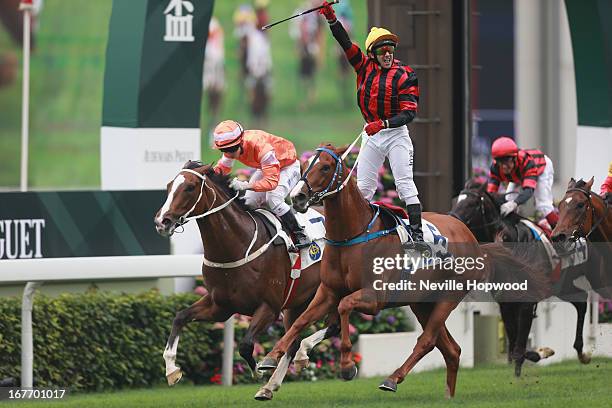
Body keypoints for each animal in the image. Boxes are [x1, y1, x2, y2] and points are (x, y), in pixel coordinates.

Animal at [152, 162, 334, 398]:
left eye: (190, 188)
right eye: (168, 186)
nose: (162, 222)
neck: (237, 245)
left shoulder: (269, 307)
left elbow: (246, 344)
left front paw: (259, 370)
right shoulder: (220, 306)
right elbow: (180, 317)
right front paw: (172, 369)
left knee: (331, 327)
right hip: (299, 302)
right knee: (294, 338)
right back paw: (272, 385)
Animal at [256, 145, 544, 396]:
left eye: (326, 167)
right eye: (306, 166)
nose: (298, 197)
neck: (352, 235)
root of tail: (472, 238)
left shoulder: (373, 298)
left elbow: (344, 307)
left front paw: (347, 366)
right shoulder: (327, 292)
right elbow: (301, 321)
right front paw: (270, 358)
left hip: (449, 297)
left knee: (427, 341)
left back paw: (392, 379)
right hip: (422, 302)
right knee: (451, 349)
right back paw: (448, 397)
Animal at [452, 180, 600, 374]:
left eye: (471, 204)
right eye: (456, 200)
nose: (451, 220)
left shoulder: (527, 302)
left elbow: (519, 344)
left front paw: (536, 355)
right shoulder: (506, 302)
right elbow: (515, 342)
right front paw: (537, 355)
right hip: (563, 286)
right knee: (581, 302)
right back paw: (581, 352)